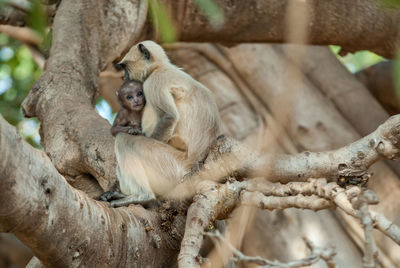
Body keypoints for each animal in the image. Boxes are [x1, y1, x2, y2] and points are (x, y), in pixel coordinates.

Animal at [109, 40, 222, 207]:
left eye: (125, 68)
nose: (124, 77)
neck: (160, 67)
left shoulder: (153, 82)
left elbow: (169, 117)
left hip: (173, 167)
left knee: (124, 140)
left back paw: (142, 197)